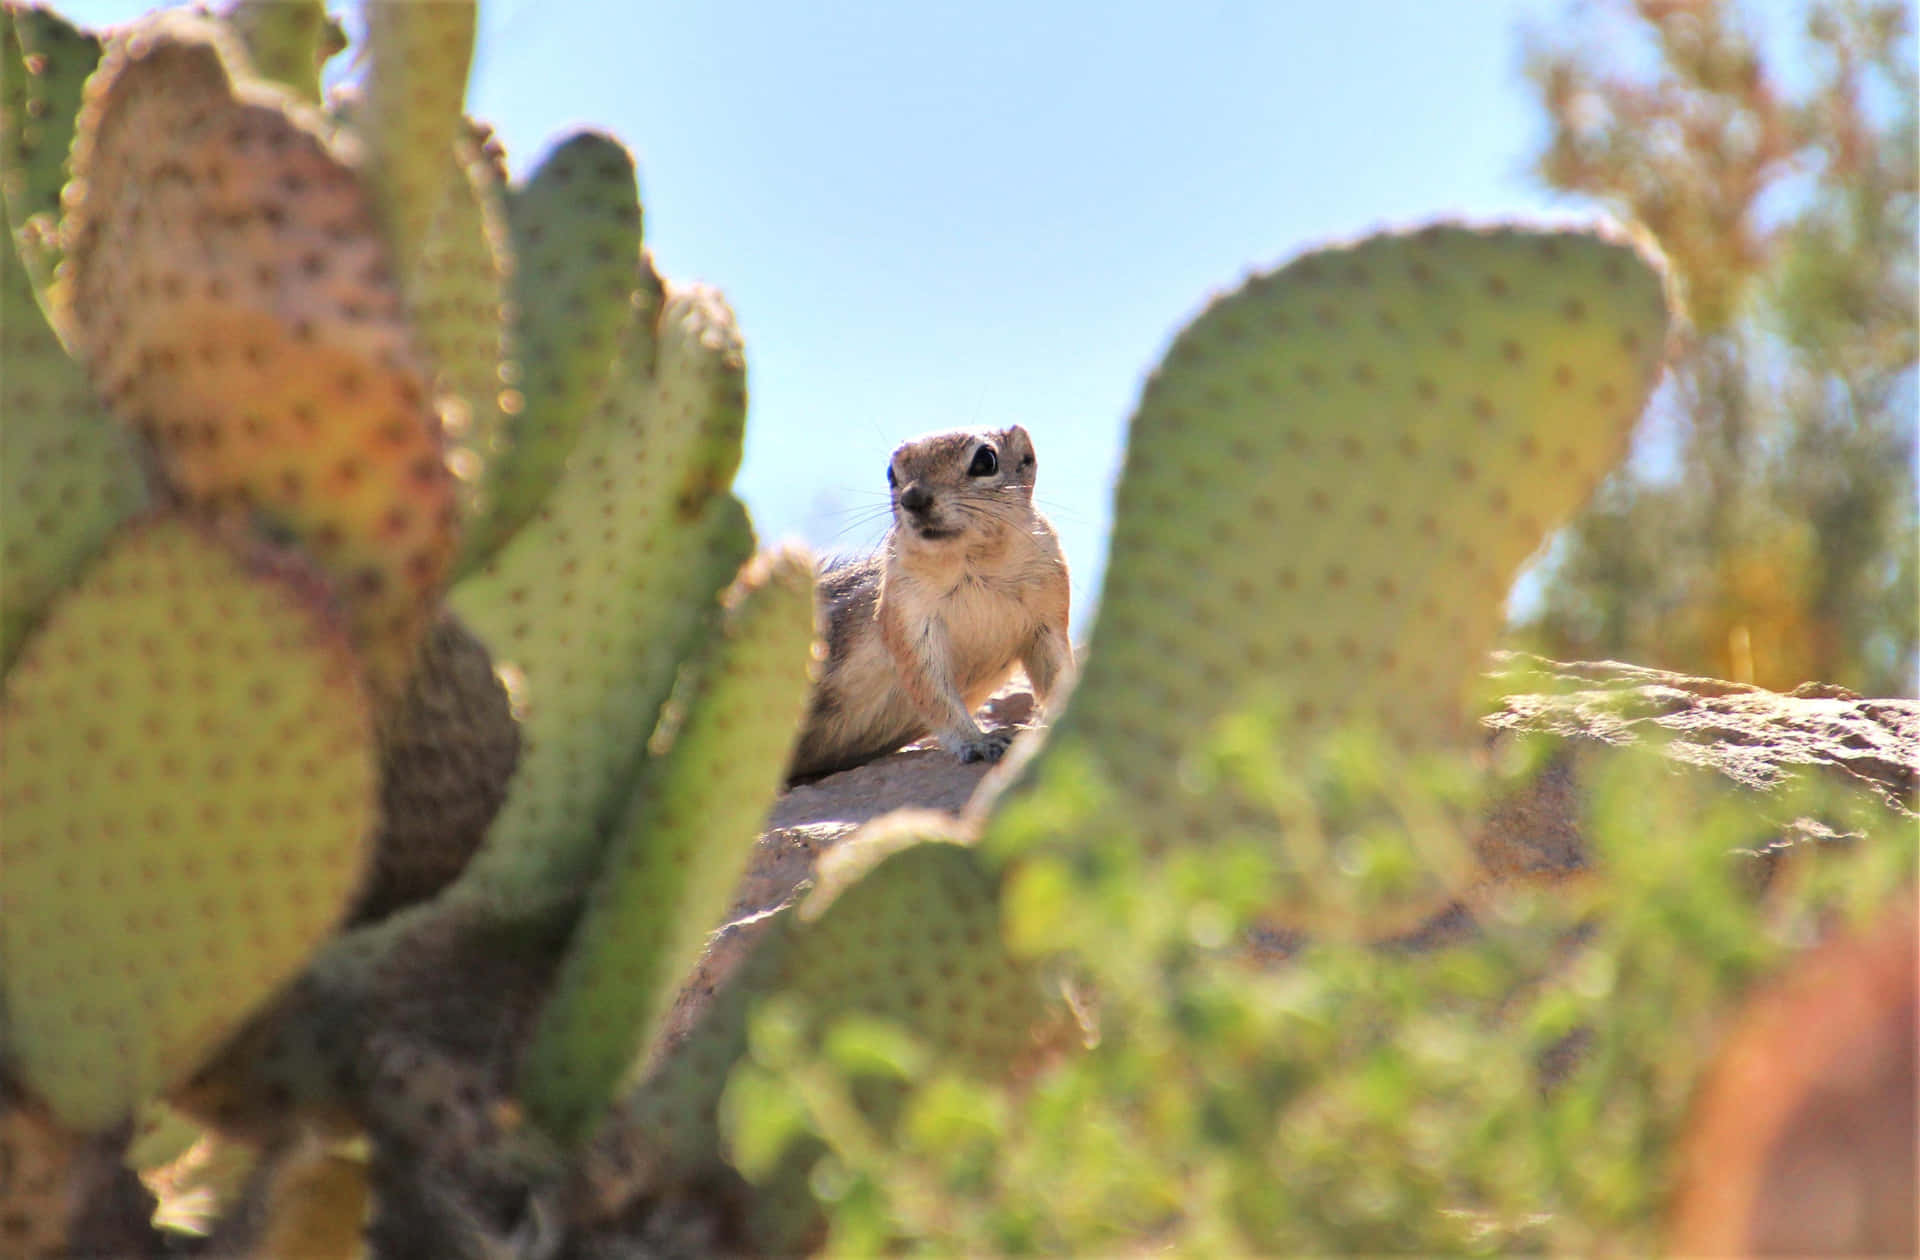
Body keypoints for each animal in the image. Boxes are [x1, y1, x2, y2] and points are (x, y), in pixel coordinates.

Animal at [787, 426, 1075, 775]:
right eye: (891, 473)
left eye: (986, 461)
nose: (913, 498)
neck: (974, 562)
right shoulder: (907, 617)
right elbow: (933, 692)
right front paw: (978, 741)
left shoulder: (1048, 613)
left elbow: (1056, 673)